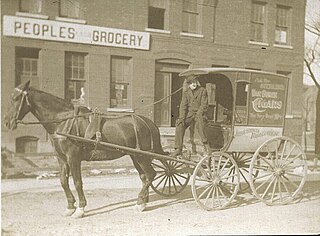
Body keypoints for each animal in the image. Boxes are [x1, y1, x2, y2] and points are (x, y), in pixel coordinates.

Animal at [4, 80, 168, 218]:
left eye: (16, 98)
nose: (7, 122)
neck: (64, 121)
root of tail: (148, 122)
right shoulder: (61, 158)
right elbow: (63, 181)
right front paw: (70, 207)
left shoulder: (73, 158)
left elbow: (77, 182)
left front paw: (80, 209)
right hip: (135, 156)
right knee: (145, 177)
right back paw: (143, 202)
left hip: (142, 157)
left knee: (151, 174)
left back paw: (140, 202)